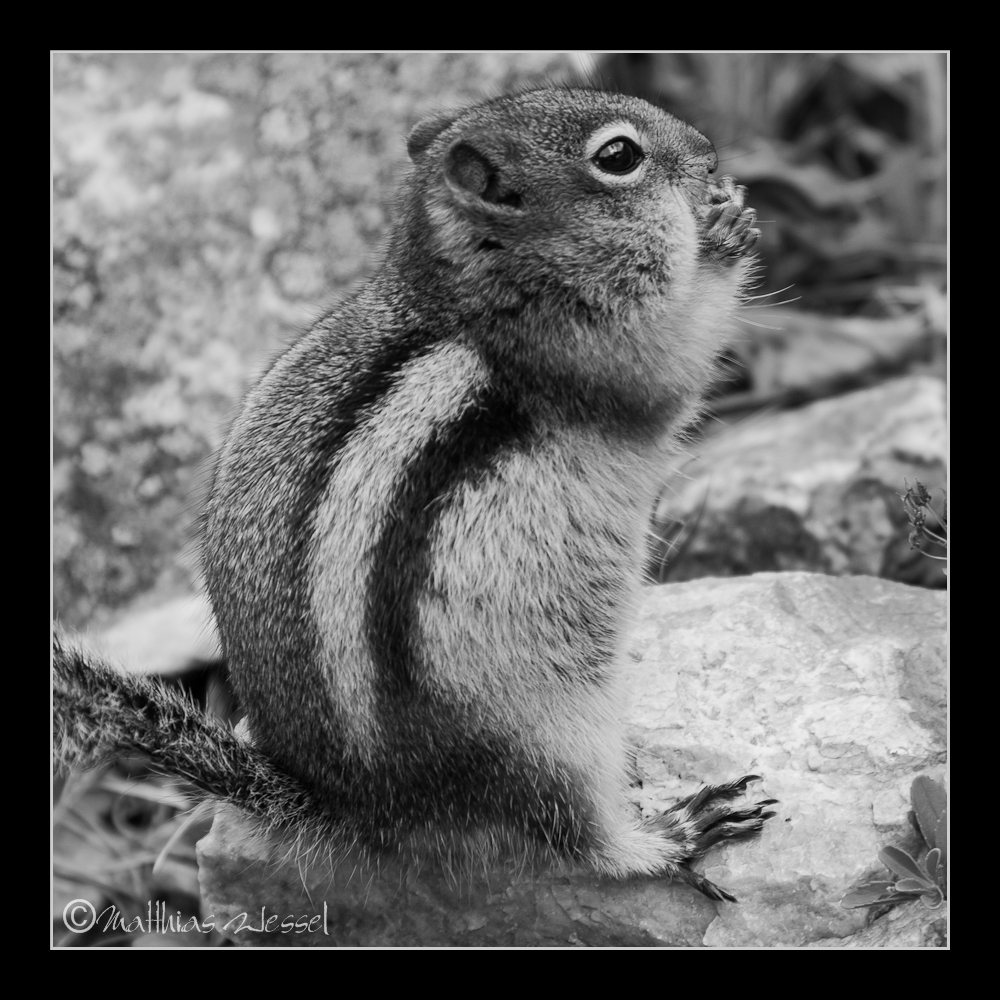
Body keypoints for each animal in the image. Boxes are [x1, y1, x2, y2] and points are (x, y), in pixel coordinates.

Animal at [56, 84, 772, 900]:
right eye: (618, 156)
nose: (711, 154)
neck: (467, 288)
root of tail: (364, 810)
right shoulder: (592, 350)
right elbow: (671, 364)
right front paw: (721, 234)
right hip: (551, 732)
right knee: (576, 835)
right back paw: (673, 832)